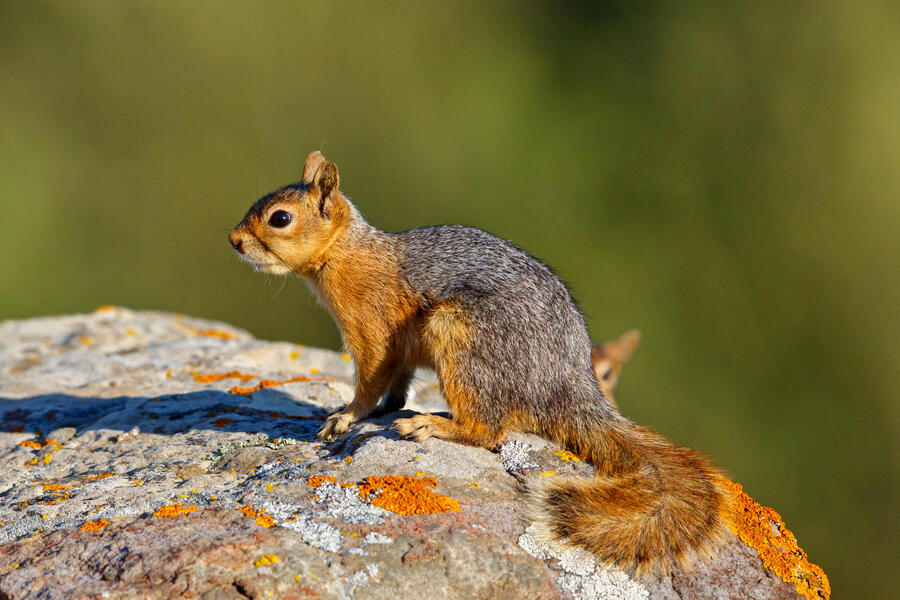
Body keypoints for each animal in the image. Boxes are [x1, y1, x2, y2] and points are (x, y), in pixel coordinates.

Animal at [229, 152, 728, 576]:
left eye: (280, 218)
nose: (233, 241)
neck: (345, 253)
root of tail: (567, 386)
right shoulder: (399, 350)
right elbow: (398, 382)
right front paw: (381, 407)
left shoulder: (371, 328)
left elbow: (371, 380)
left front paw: (346, 417)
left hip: (461, 339)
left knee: (488, 430)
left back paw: (430, 425)